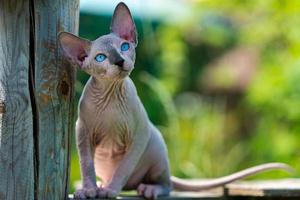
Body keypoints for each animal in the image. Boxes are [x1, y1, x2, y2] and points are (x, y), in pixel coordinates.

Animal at [58, 2, 292, 199]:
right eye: (100, 58)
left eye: (124, 47)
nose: (119, 61)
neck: (110, 96)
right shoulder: (82, 131)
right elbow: (86, 164)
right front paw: (88, 190)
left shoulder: (139, 134)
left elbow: (123, 168)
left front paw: (110, 191)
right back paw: (98, 184)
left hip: (156, 148)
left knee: (165, 184)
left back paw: (148, 188)